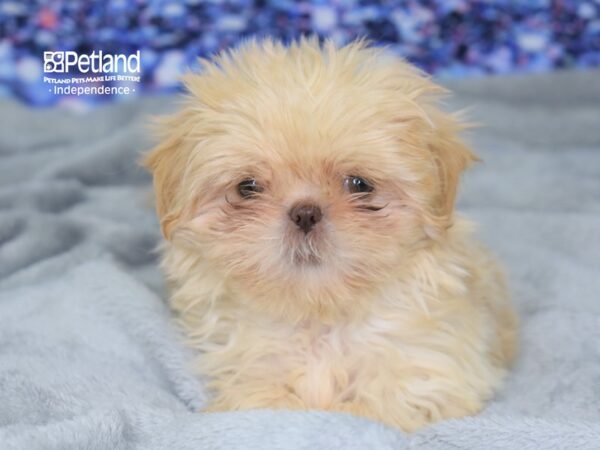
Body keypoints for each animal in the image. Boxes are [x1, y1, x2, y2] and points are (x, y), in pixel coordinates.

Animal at [144, 38, 516, 432]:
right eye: (247, 187)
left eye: (359, 184)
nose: (305, 213)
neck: (318, 317)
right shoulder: (249, 370)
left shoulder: (432, 374)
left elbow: (381, 406)